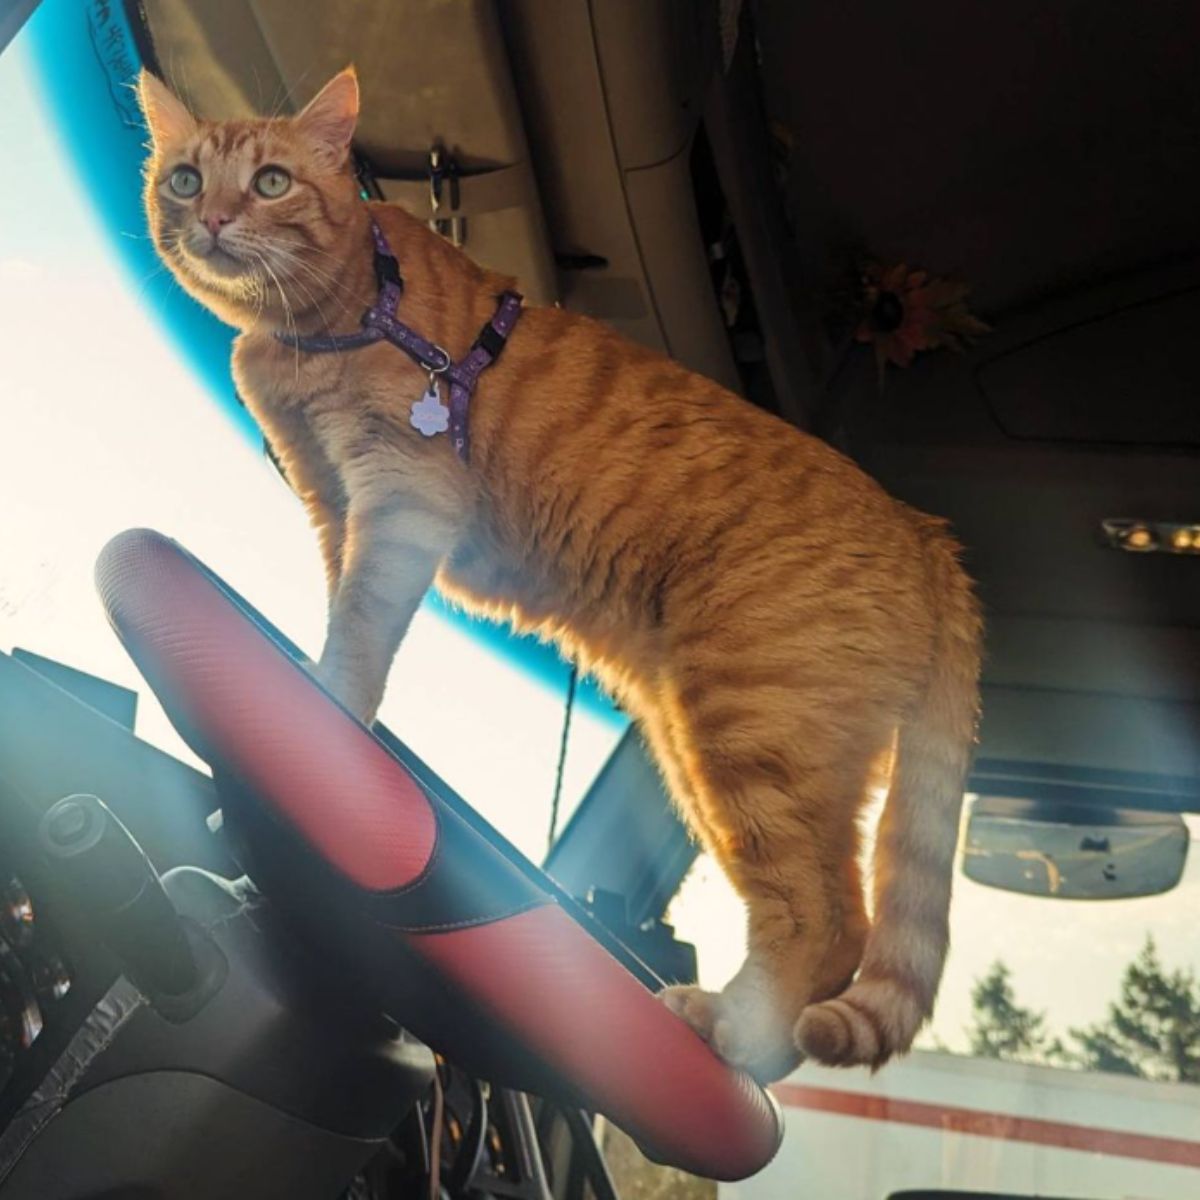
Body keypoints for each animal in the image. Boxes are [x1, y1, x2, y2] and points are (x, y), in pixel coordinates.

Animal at [140, 63, 984, 1080]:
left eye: (270, 182)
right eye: (187, 180)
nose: (217, 218)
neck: (333, 314)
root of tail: (927, 533)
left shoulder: (402, 497)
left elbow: (362, 627)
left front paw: (323, 704)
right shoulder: (332, 504)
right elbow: (341, 602)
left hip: (747, 732)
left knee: (819, 916)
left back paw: (731, 1029)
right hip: (700, 746)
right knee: (846, 919)